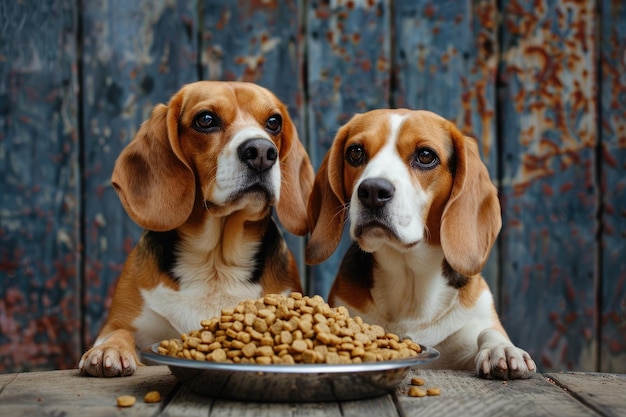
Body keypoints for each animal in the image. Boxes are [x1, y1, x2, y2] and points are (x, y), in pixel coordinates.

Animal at [79, 81, 312, 376]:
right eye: (206, 119)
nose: (262, 152)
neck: (215, 266)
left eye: (274, 122)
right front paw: (110, 350)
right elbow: (119, 332)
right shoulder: (121, 321)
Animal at [304, 109, 532, 378]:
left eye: (425, 156)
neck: (409, 278)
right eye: (355, 152)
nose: (372, 191)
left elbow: (488, 331)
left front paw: (502, 350)